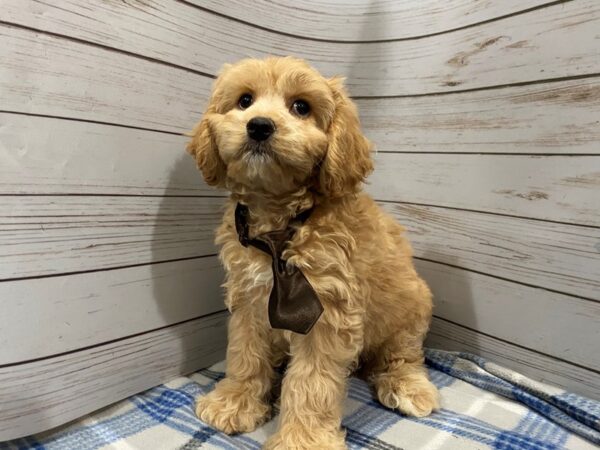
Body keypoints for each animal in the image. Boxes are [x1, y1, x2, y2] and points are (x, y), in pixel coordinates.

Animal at [189, 57, 440, 450]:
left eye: (301, 107)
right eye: (245, 100)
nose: (259, 126)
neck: (281, 225)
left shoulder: (326, 310)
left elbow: (311, 383)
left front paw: (302, 440)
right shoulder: (249, 300)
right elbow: (244, 354)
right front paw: (234, 402)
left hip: (409, 313)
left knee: (404, 357)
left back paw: (407, 387)